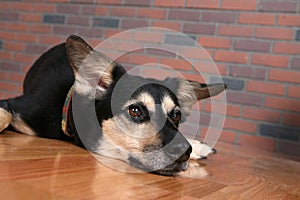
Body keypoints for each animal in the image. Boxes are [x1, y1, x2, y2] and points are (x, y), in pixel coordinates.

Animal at [0, 35, 225, 176]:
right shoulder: (16, 105)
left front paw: (196, 146)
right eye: (135, 110)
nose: (184, 151)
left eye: (176, 115)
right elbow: (6, 114)